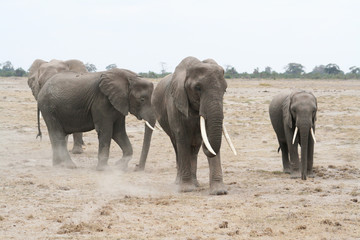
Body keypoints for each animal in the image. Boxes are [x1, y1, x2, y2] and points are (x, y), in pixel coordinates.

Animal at [146, 56, 236, 195]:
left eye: (225, 89)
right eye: (198, 88)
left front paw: (219, 191)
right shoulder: (176, 103)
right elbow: (182, 138)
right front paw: (186, 189)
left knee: (194, 149)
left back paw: (196, 184)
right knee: (177, 146)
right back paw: (180, 183)